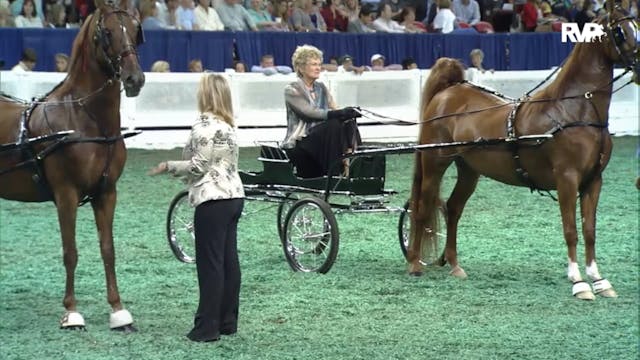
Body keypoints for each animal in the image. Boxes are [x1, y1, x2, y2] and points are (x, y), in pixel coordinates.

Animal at [0, 0, 145, 330]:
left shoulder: (106, 192)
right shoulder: (66, 193)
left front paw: (118, 310)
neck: (85, 120)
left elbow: (108, 249)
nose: (135, 79)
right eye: (107, 32)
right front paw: (71, 312)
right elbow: (71, 252)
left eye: (135, 29)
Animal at [408, 0, 636, 300]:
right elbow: (571, 230)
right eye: (620, 31)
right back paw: (414, 264)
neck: (574, 110)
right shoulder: (567, 178)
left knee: (453, 208)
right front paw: (578, 283)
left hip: (468, 169)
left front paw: (599, 280)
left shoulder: (593, 180)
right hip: (435, 161)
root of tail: (449, 90)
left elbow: (589, 230)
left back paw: (455, 266)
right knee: (422, 209)